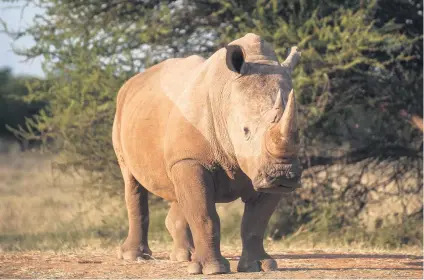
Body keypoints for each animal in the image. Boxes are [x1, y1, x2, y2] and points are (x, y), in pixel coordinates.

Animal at [112, 32, 304, 274]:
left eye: (299, 132)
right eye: (245, 130)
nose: (282, 174)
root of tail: (130, 82)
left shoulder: (260, 166)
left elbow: (256, 222)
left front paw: (260, 266)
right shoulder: (192, 159)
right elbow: (205, 215)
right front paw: (211, 270)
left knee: (178, 189)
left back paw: (185, 256)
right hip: (121, 115)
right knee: (132, 181)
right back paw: (135, 257)